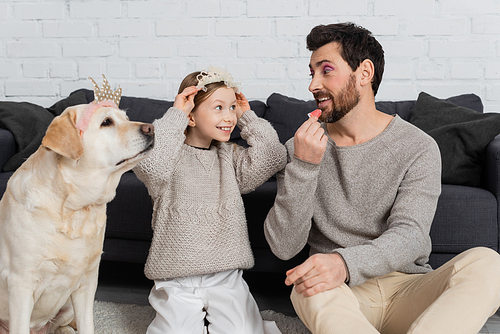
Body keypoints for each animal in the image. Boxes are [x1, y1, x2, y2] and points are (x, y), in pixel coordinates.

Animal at [0, 102, 154, 334]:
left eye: (126, 118)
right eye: (106, 122)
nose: (151, 128)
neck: (76, 208)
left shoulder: (88, 280)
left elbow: (87, 325)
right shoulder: (20, 282)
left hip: (67, 306)